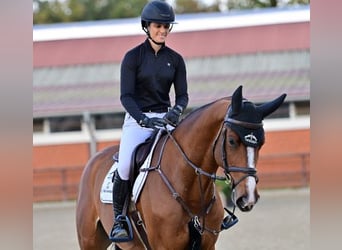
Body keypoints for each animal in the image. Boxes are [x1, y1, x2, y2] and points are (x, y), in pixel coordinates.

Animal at [77, 85, 286, 249]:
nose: (248, 197)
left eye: (262, 143)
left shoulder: (207, 245)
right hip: (90, 241)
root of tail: (95, 159)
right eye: (232, 141)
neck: (188, 187)